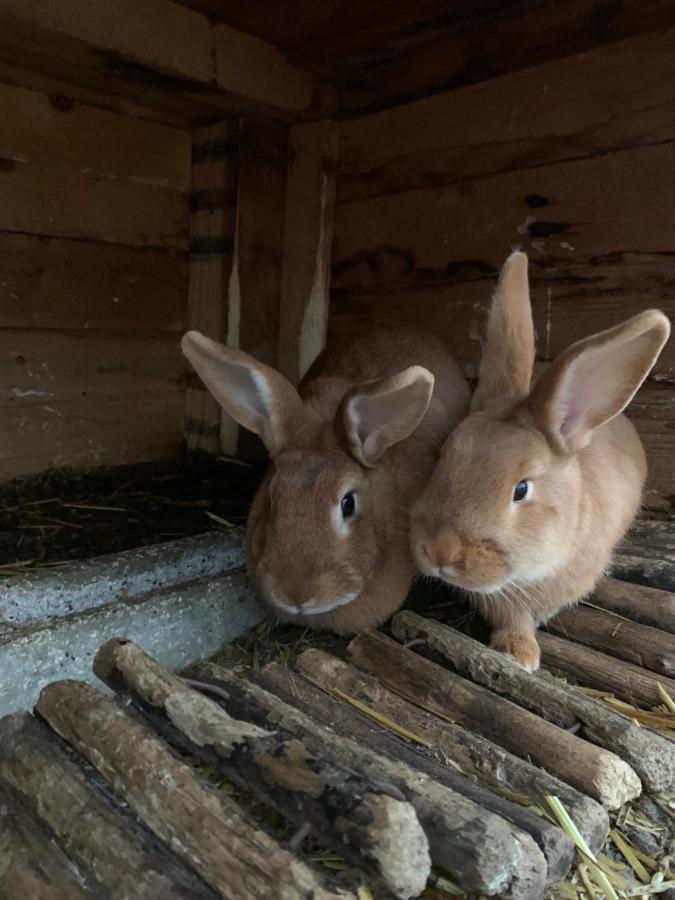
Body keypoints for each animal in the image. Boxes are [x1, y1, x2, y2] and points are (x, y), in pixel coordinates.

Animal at [412, 251, 672, 668]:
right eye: (444, 455)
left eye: (521, 489)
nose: (440, 551)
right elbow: (513, 617)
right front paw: (519, 651)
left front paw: (522, 656)